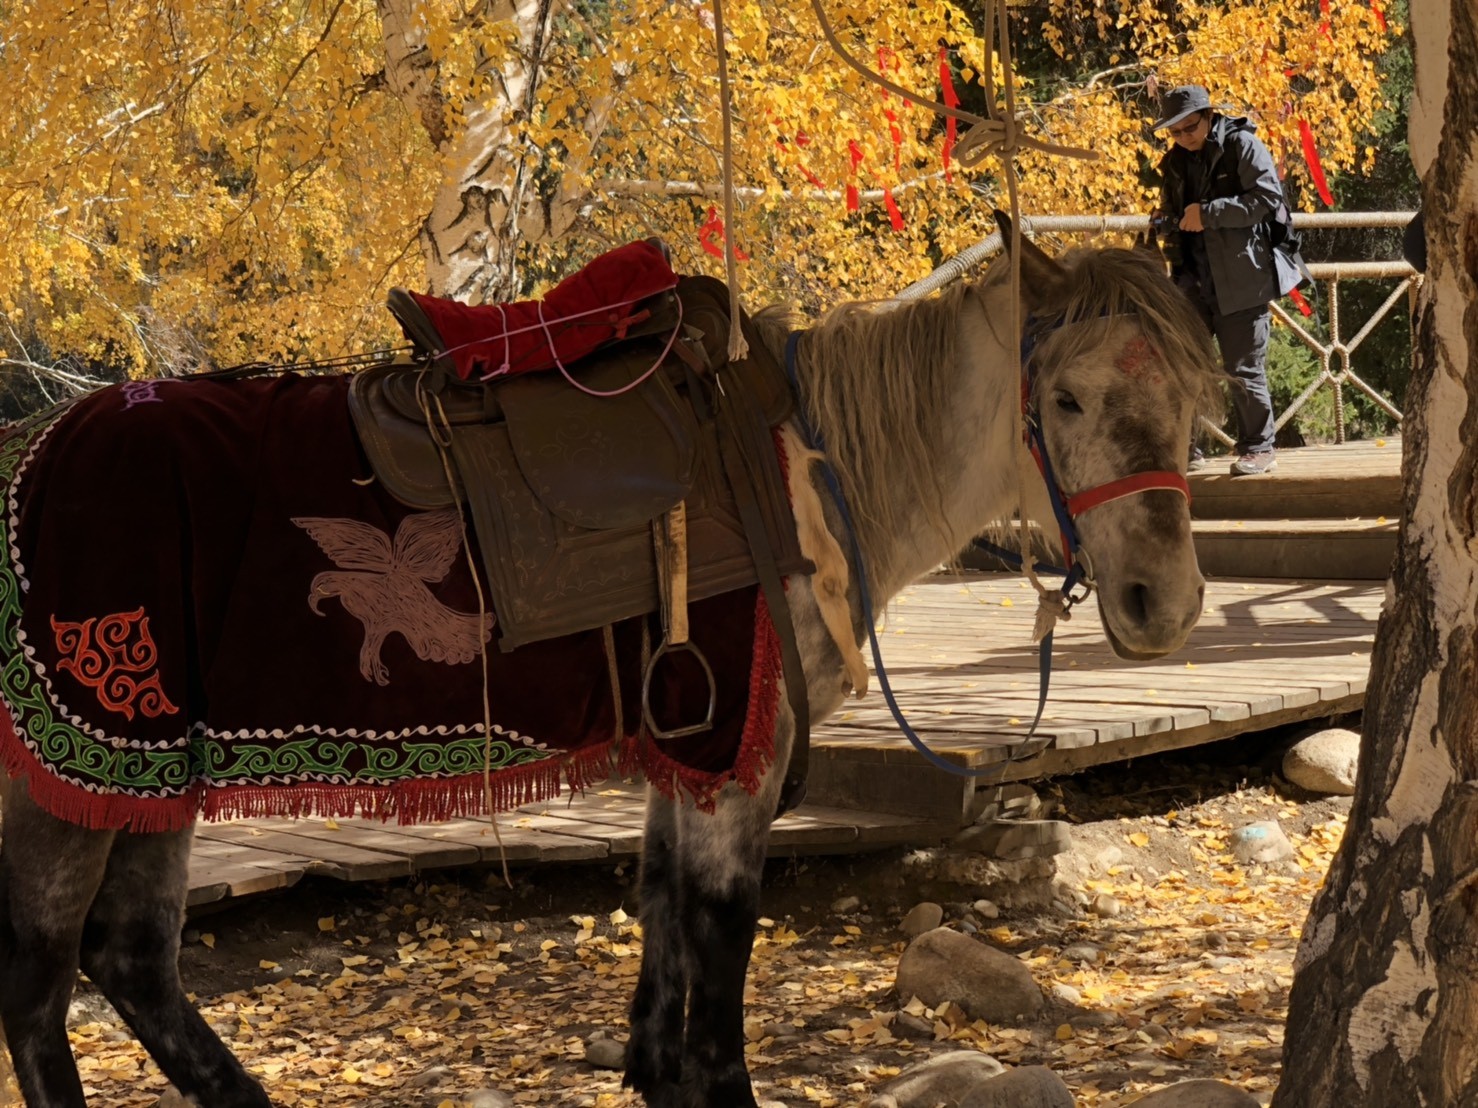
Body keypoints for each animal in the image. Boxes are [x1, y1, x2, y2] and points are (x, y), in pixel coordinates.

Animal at [0, 227, 1217, 1108]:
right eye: (1064, 399)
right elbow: (718, 942)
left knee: (133, 958)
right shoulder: (734, 755)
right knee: (42, 982)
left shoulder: (689, 748)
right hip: (78, 772)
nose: (1162, 604)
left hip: (159, 773)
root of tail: (35, 453)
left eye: (1190, 401)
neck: (804, 478)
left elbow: (661, 909)